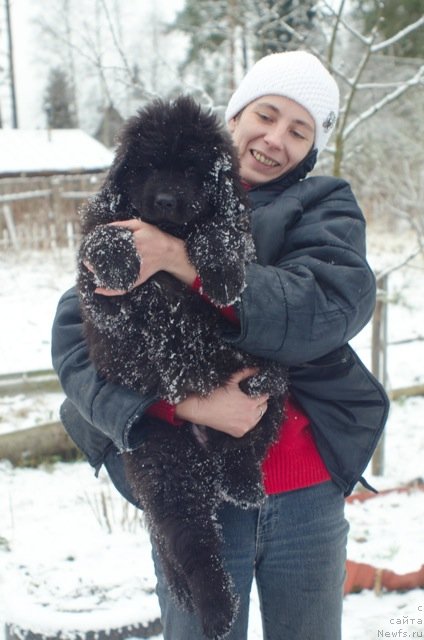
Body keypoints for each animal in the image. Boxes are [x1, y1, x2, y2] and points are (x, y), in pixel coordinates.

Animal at [77, 96, 288, 640]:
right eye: (151, 167)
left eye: (195, 172)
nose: (169, 200)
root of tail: (203, 449)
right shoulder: (96, 291)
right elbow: (105, 241)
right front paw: (121, 262)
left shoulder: (236, 228)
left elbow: (220, 232)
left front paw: (221, 277)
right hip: (166, 466)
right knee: (194, 547)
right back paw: (216, 612)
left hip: (263, 404)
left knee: (250, 439)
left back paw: (244, 484)